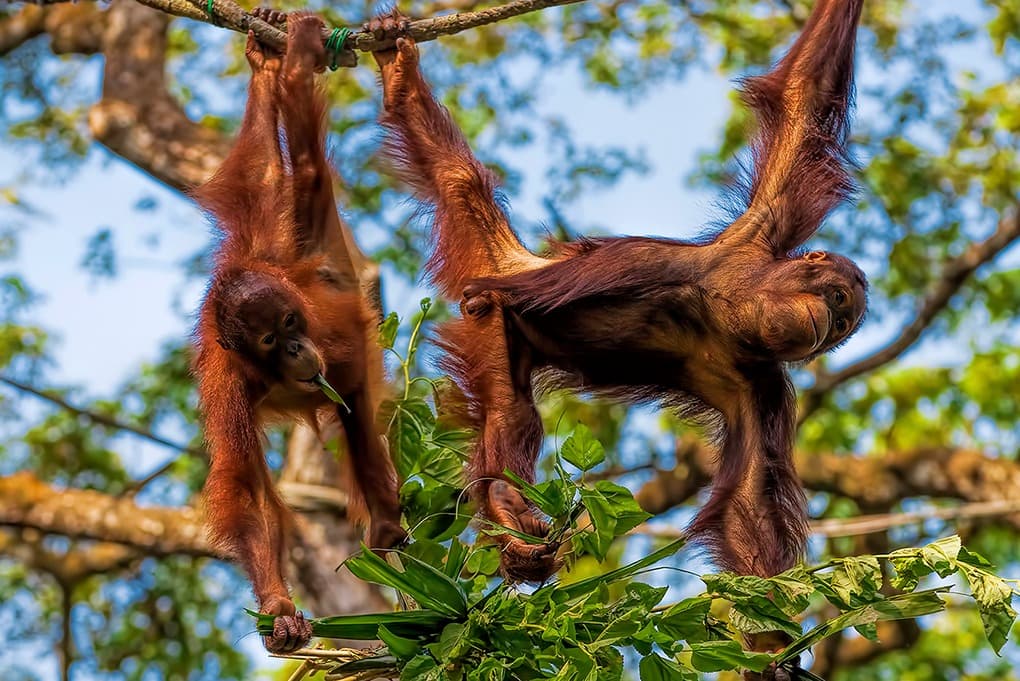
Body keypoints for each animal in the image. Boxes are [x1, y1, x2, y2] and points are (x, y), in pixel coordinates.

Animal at [192, 11, 405, 653]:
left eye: (288, 323)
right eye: (267, 341)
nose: (292, 346)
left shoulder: (331, 342)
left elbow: (352, 394)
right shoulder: (230, 388)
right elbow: (245, 489)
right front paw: (279, 606)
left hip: (309, 252)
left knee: (299, 168)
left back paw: (291, 64)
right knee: (279, 166)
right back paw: (274, 64)